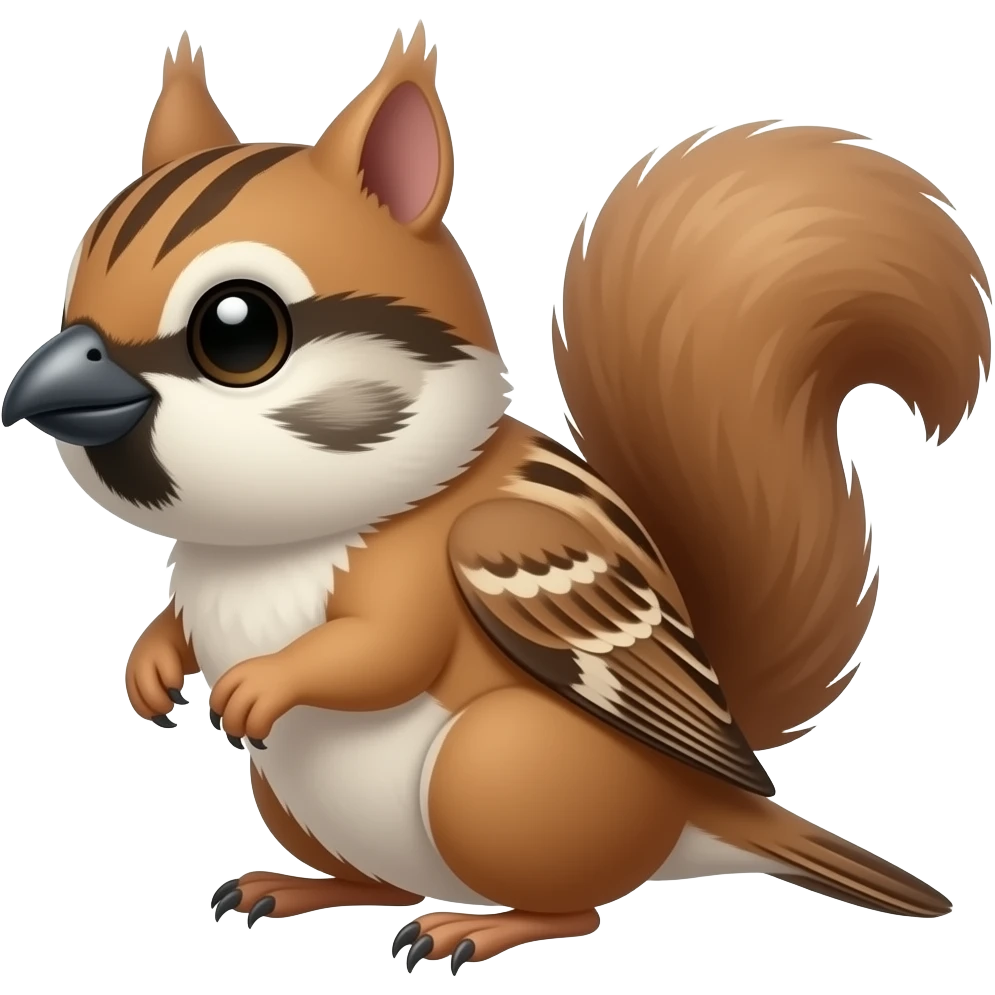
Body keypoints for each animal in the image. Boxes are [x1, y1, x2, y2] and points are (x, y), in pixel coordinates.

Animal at [2, 22, 987, 972]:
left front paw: (262, 683)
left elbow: (380, 652)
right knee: (383, 882)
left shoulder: (420, 588)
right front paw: (150, 665)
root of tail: (703, 795)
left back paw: (477, 926)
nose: (32, 388)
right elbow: (177, 618)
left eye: (236, 330)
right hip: (287, 795)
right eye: (77, 279)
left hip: (495, 773)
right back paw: (302, 886)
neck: (268, 545)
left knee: (578, 904)